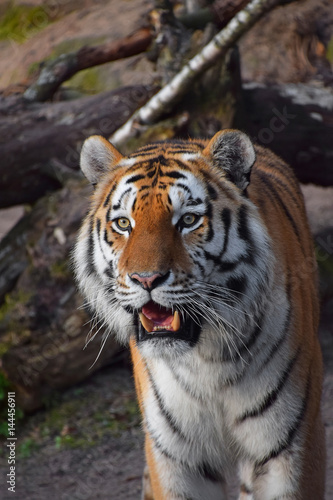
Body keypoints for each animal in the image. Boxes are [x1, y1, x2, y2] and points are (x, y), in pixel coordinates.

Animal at [72, 130, 324, 500]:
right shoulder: (176, 457)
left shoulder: (288, 447)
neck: (207, 359)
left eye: (188, 220)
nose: (145, 279)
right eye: (123, 224)